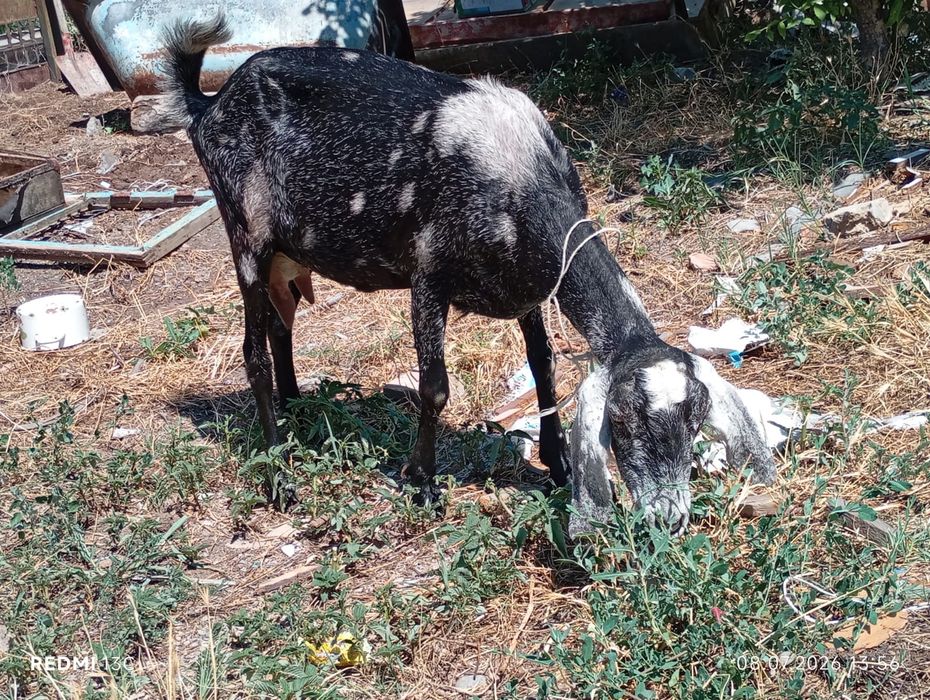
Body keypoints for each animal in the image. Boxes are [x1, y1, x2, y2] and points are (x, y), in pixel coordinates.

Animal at [160, 15, 776, 531]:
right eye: (623, 420)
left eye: (696, 421)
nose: (669, 518)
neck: (517, 172)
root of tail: (209, 102)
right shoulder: (429, 273)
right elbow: (434, 387)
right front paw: (422, 481)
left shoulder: (527, 286)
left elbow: (544, 367)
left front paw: (557, 464)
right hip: (246, 236)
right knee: (253, 352)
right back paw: (277, 472)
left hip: (290, 255)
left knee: (280, 326)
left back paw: (297, 412)